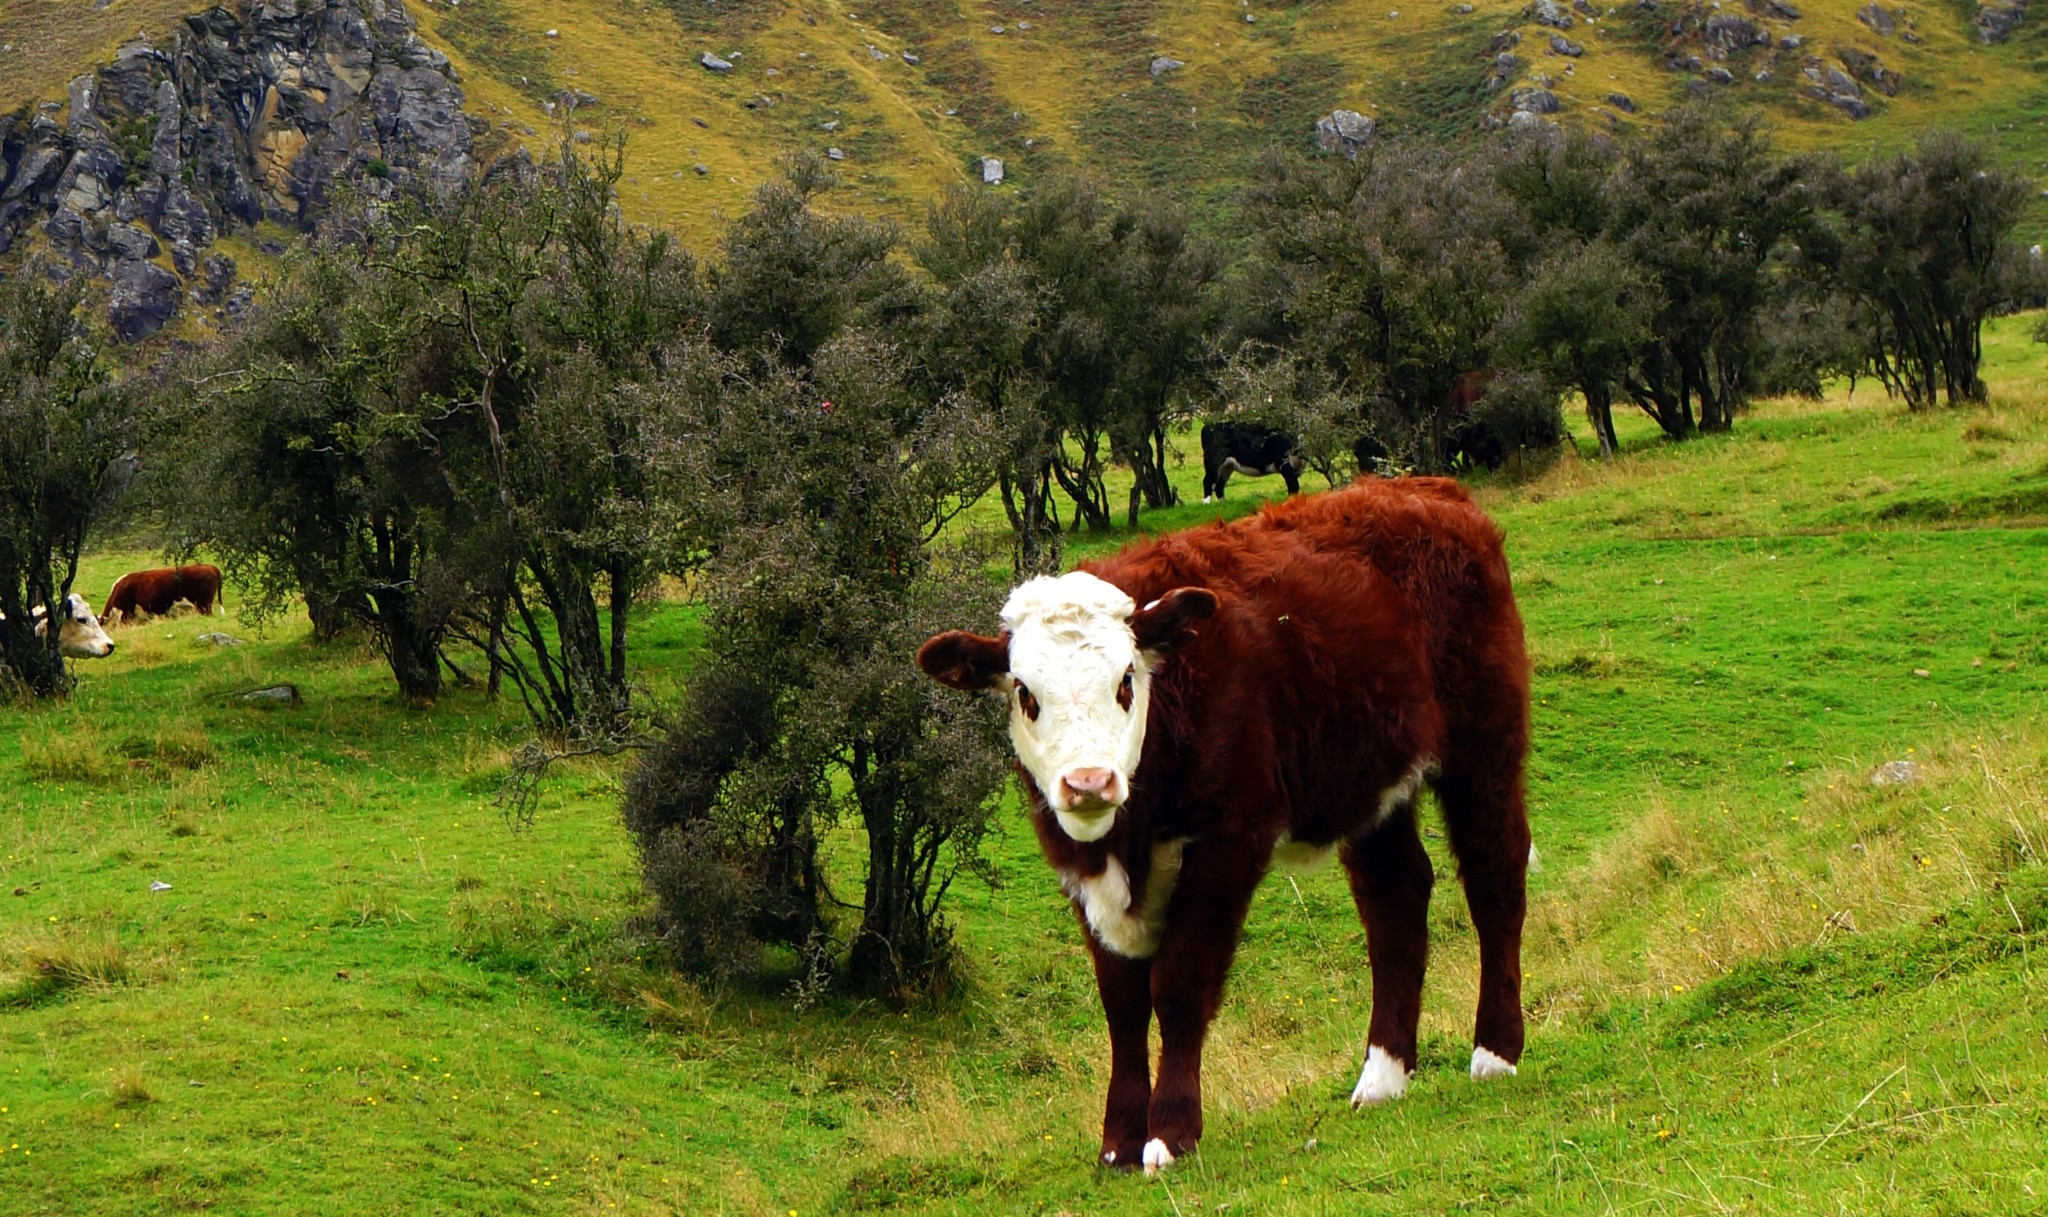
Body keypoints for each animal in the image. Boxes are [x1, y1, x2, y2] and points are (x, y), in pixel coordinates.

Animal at [921, 479, 1531, 1171]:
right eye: (1025, 693)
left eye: (1126, 680)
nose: (1088, 782)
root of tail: (1428, 489)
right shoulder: (1080, 868)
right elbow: (1122, 1002)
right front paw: (1118, 1140)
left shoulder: (1227, 840)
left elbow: (1179, 983)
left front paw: (1170, 1132)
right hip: (1373, 777)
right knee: (1396, 898)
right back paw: (1382, 1076)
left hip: (1483, 742)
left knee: (1494, 875)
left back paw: (1495, 1051)